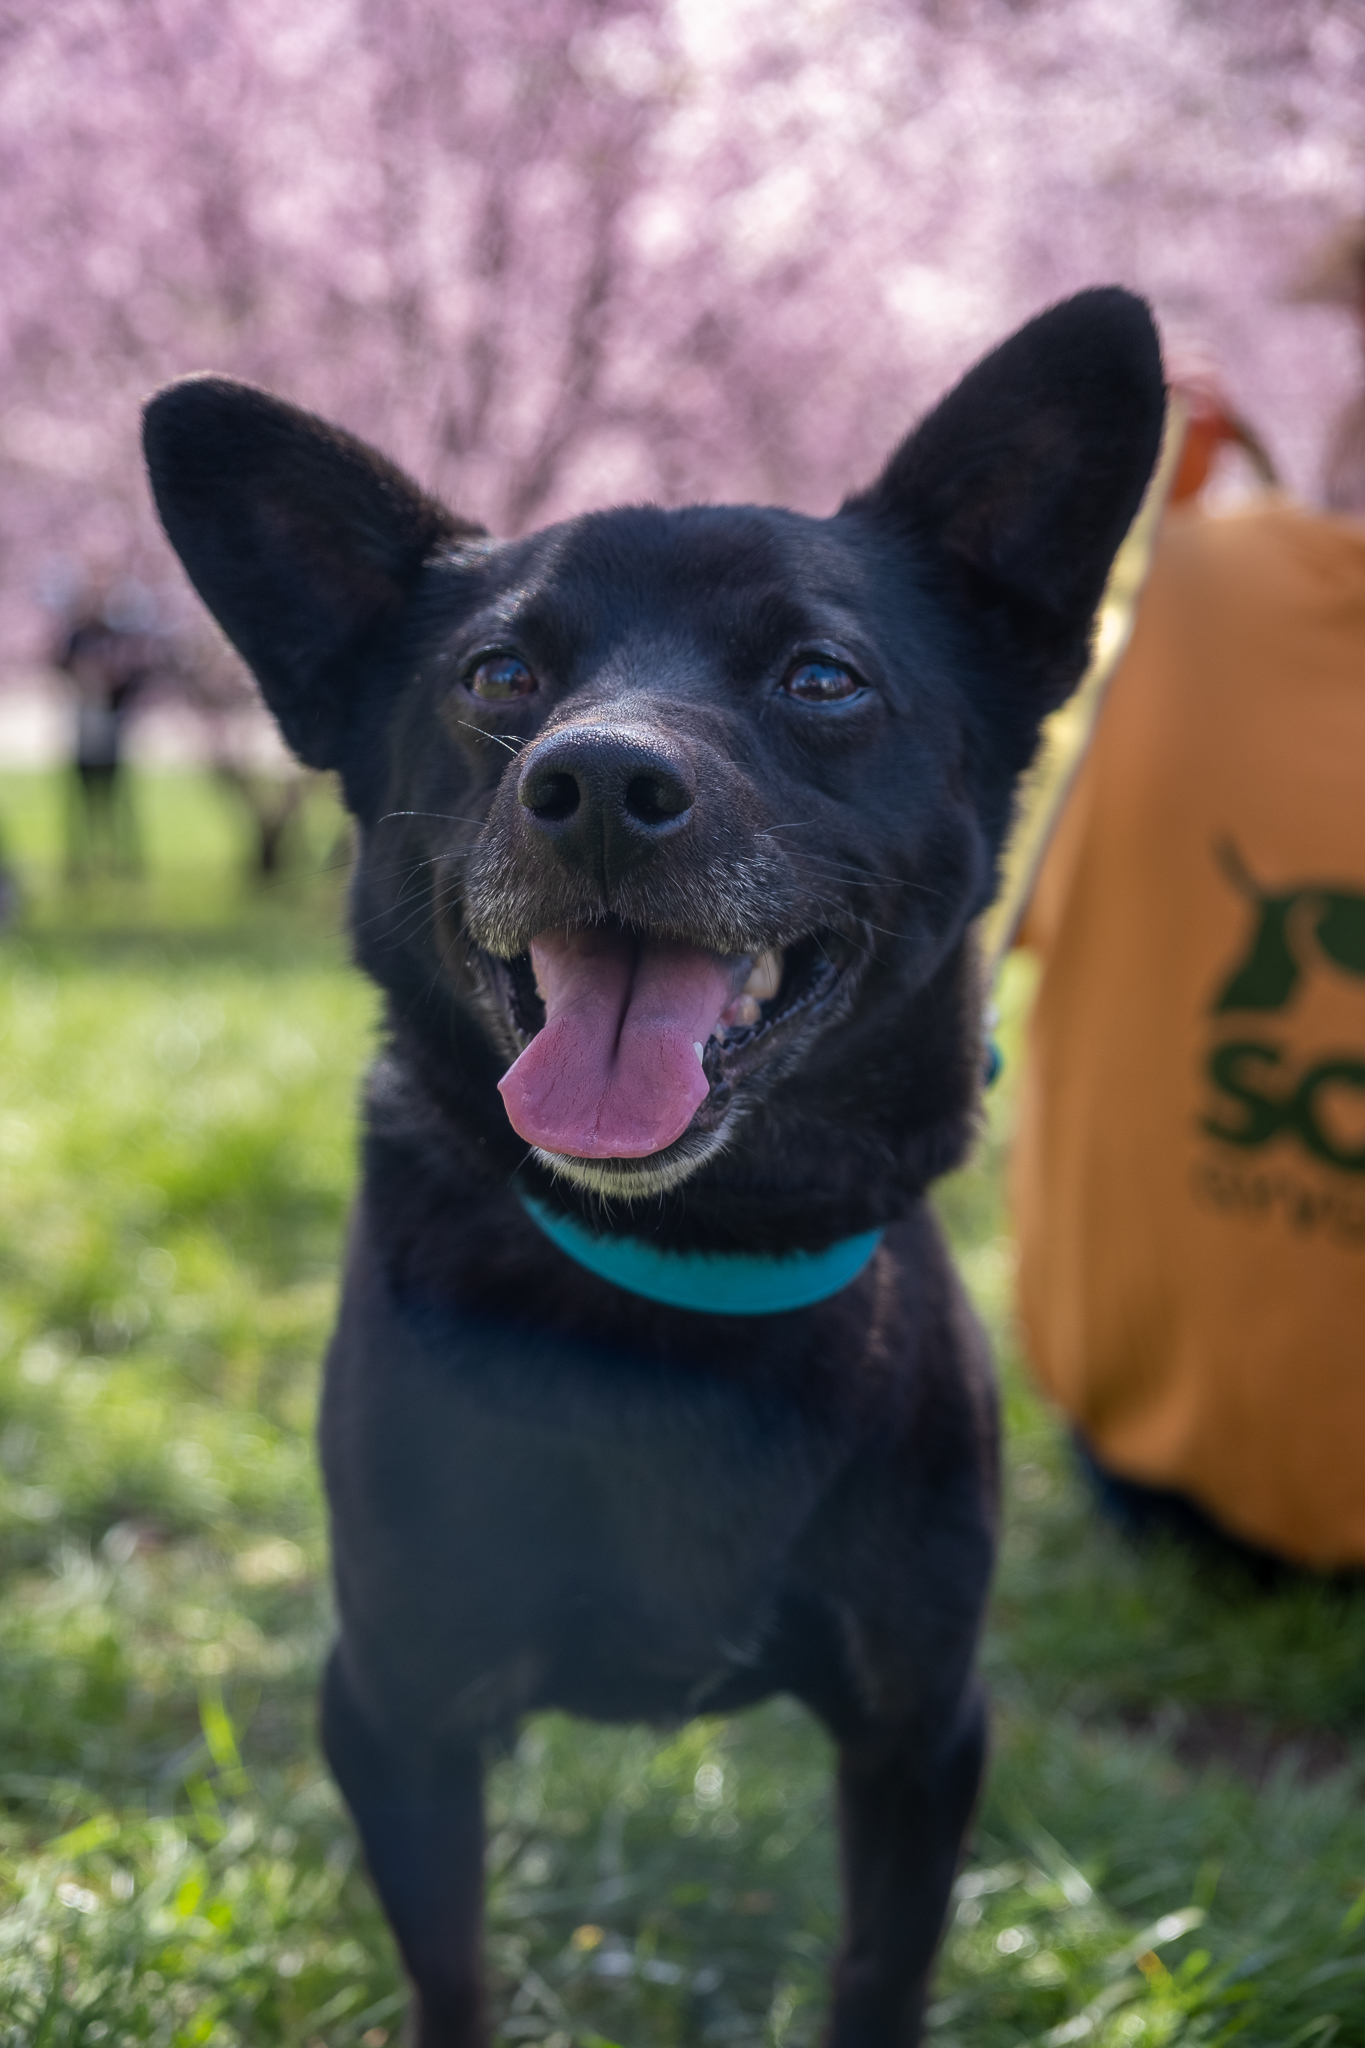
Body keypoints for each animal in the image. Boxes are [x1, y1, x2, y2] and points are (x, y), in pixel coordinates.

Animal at [143, 288, 1163, 2047]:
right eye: (499, 673)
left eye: (822, 676)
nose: (603, 783)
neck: (685, 1264)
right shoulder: (394, 1714)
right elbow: (455, 1969)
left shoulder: (921, 1730)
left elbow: (879, 1969)